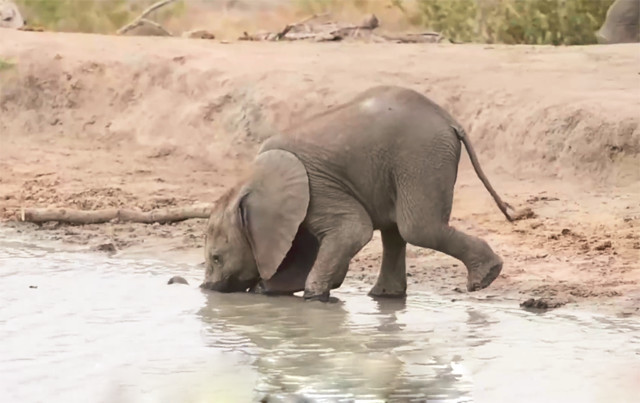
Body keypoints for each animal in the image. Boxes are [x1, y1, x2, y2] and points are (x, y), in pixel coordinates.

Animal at [202, 85, 528, 302]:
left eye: (217, 258)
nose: (206, 289)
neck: (248, 182)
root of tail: (450, 119)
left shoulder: (316, 187)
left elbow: (352, 231)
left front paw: (314, 297)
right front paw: (270, 290)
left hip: (420, 156)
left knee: (417, 228)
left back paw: (484, 278)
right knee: (395, 231)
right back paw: (385, 296)